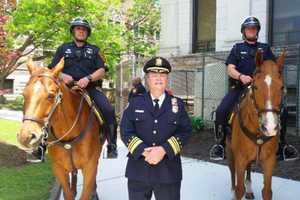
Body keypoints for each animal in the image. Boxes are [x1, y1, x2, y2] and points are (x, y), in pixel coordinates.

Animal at [17, 58, 102, 199]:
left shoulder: (90, 167)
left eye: (51, 95)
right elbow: (68, 193)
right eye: (24, 94)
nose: (26, 137)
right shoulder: (59, 168)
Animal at [229, 52, 284, 200]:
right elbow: (239, 189)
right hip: (230, 151)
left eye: (282, 87)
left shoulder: (270, 161)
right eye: (255, 87)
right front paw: (237, 191)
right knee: (231, 171)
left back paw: (249, 189)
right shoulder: (240, 158)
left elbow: (267, 191)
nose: (270, 127)